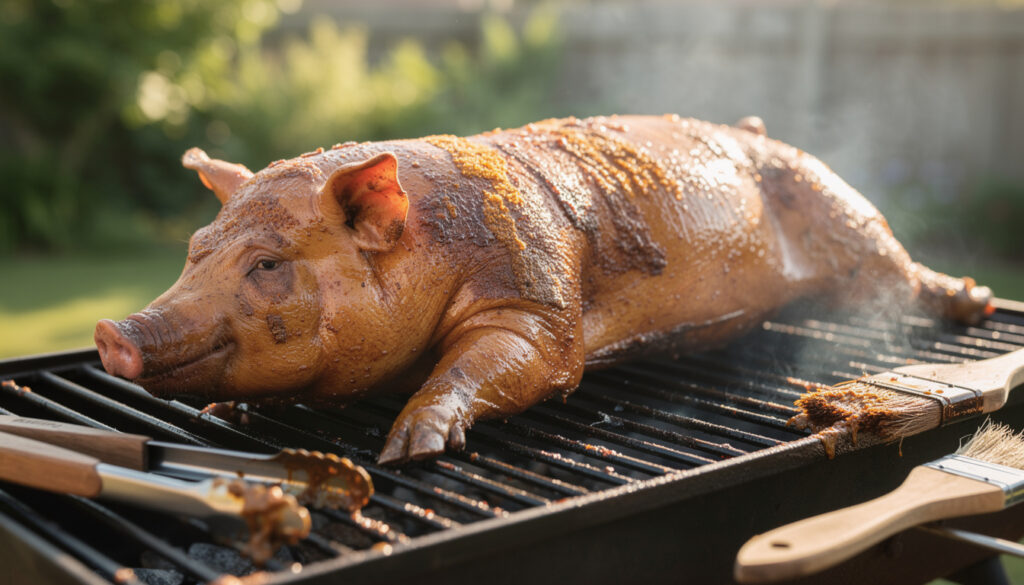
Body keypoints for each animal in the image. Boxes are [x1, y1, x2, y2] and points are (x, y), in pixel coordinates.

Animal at [94, 115, 992, 464]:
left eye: (269, 265)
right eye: (196, 250)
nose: (110, 332)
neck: (435, 245)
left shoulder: (537, 295)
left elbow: (522, 362)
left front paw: (409, 446)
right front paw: (224, 411)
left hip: (846, 217)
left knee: (905, 275)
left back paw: (977, 301)